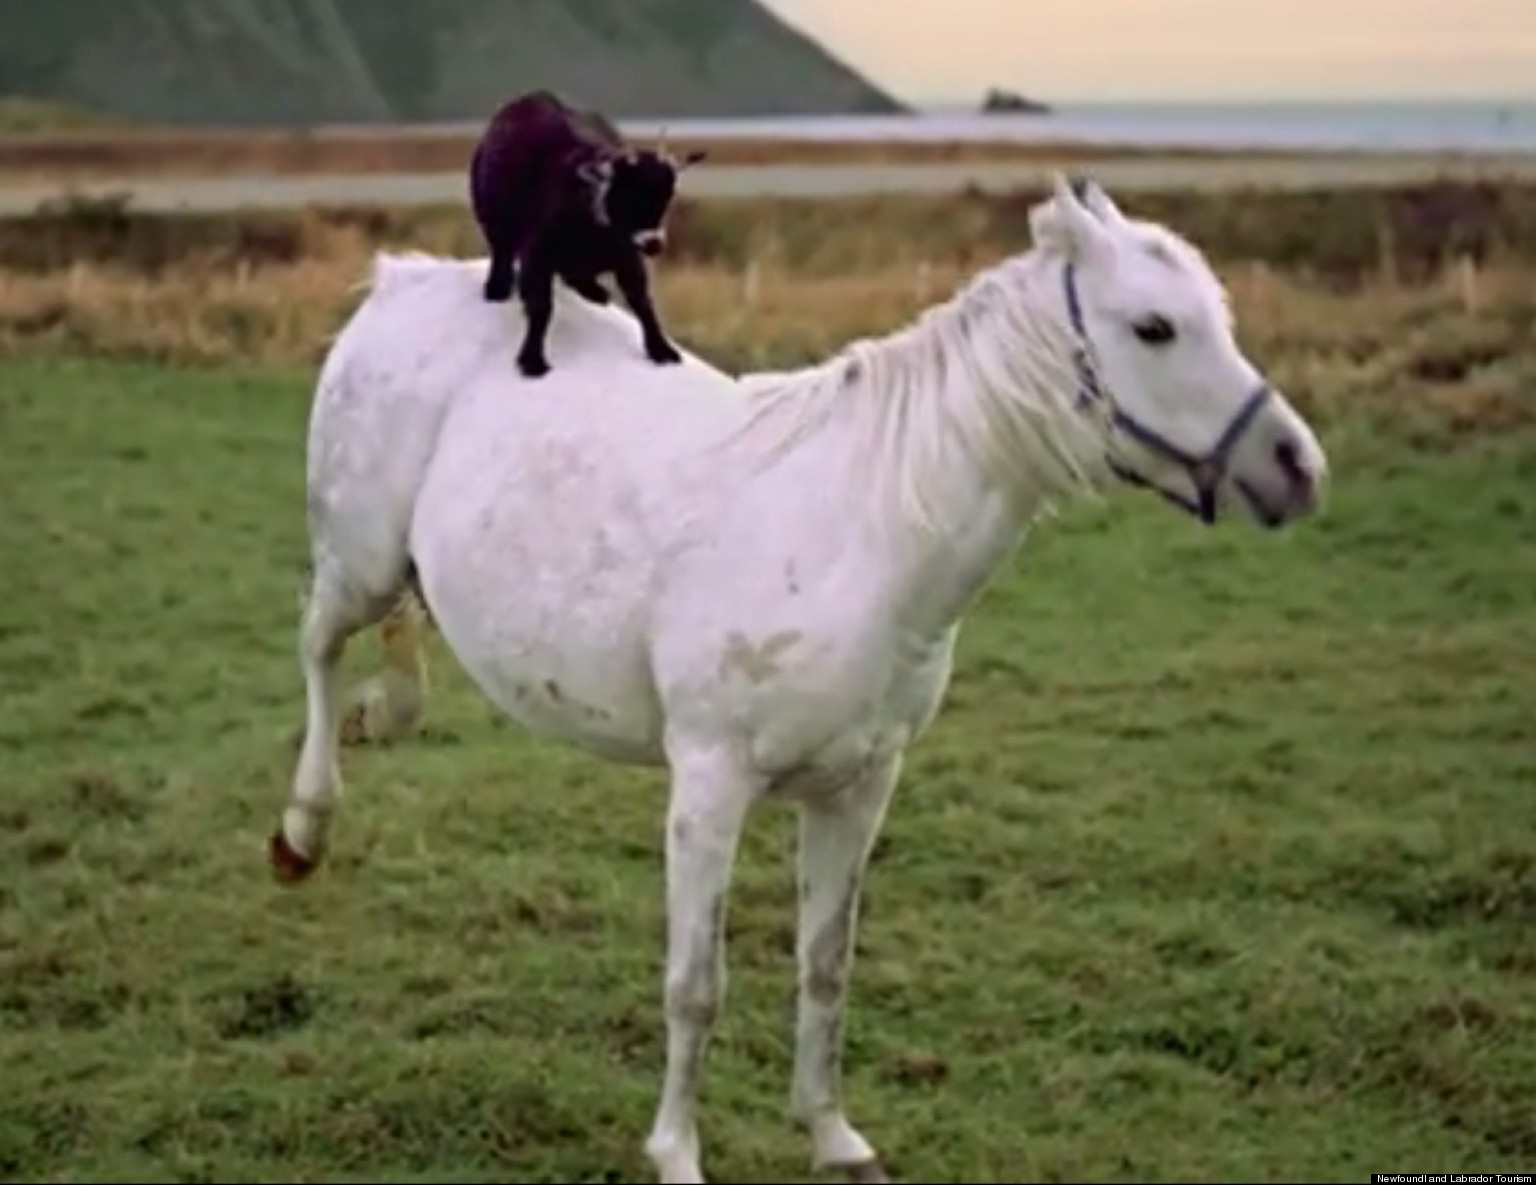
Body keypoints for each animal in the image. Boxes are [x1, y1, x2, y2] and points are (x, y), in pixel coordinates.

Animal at [270, 174, 1328, 1184]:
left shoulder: (859, 787)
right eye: (1154, 328)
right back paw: (303, 829)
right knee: (319, 644)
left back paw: (378, 716)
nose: (1297, 467)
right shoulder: (709, 783)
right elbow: (696, 986)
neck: (862, 529)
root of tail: (403, 283)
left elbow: (827, 964)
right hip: (359, 559)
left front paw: (833, 1135)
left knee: (398, 647)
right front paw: (677, 1153)